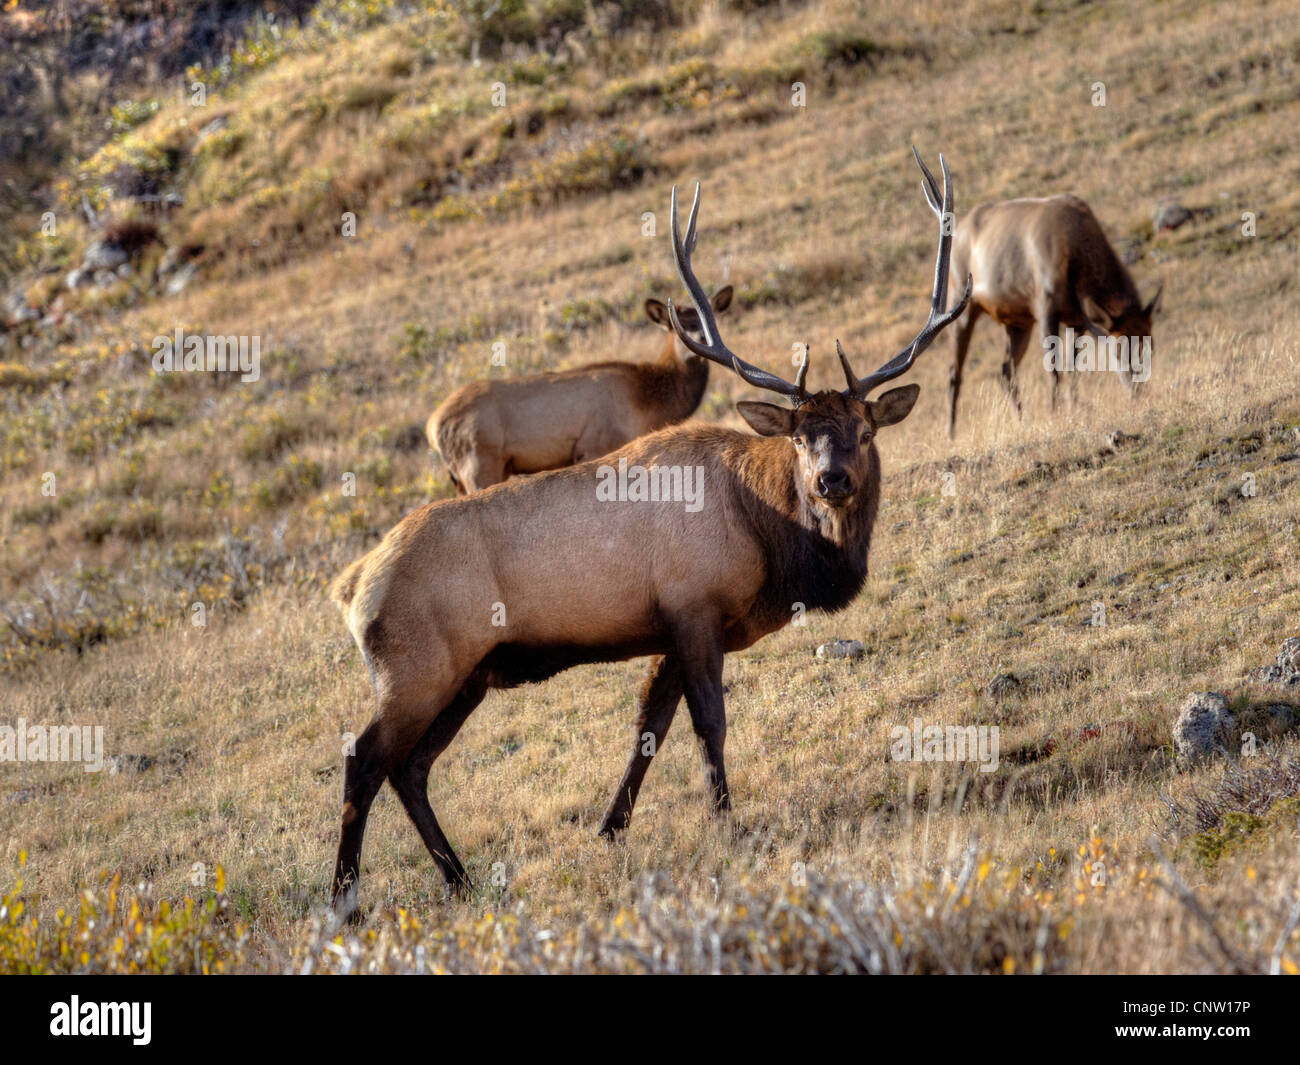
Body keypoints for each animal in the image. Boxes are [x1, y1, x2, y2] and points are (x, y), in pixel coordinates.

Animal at [426, 287, 733, 496]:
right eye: (679, 324)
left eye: (708, 320)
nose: (701, 340)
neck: (648, 403)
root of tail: (433, 427)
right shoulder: (595, 445)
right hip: (478, 464)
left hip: (466, 475)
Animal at [946, 193, 1170, 434]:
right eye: (1117, 352)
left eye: (1151, 347)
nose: (1138, 392)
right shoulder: (1045, 307)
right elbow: (1054, 368)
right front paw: (1054, 413)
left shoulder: (1076, 320)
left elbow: (1073, 367)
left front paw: (1072, 408)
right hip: (960, 298)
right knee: (954, 373)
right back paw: (952, 433)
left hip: (1019, 322)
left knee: (1006, 370)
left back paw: (1021, 418)